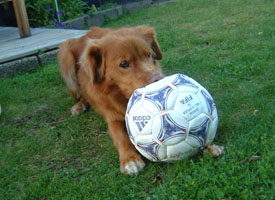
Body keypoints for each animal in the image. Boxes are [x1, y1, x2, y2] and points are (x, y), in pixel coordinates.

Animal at [58, 25, 165, 174]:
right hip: (66, 56)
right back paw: (79, 105)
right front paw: (130, 159)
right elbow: (120, 137)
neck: (121, 96)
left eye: (148, 54)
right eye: (124, 63)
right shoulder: (112, 116)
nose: (159, 79)